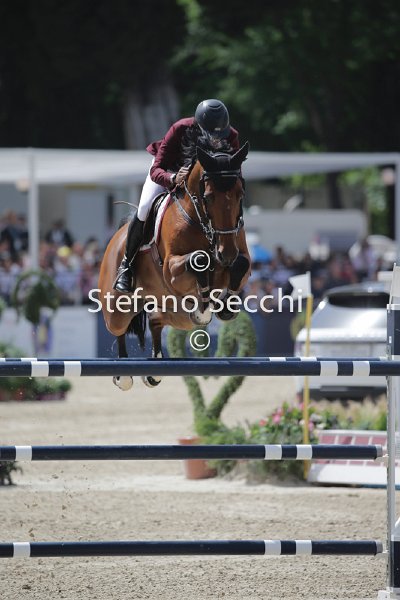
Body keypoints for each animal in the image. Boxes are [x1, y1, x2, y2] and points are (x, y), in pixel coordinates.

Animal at [98, 139, 251, 391]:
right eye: (209, 196)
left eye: (240, 195)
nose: (226, 253)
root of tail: (115, 239)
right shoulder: (172, 269)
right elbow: (199, 259)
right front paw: (205, 306)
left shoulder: (238, 258)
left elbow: (239, 265)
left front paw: (225, 306)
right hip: (117, 308)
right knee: (119, 328)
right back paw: (123, 375)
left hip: (176, 313)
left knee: (156, 320)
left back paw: (153, 371)